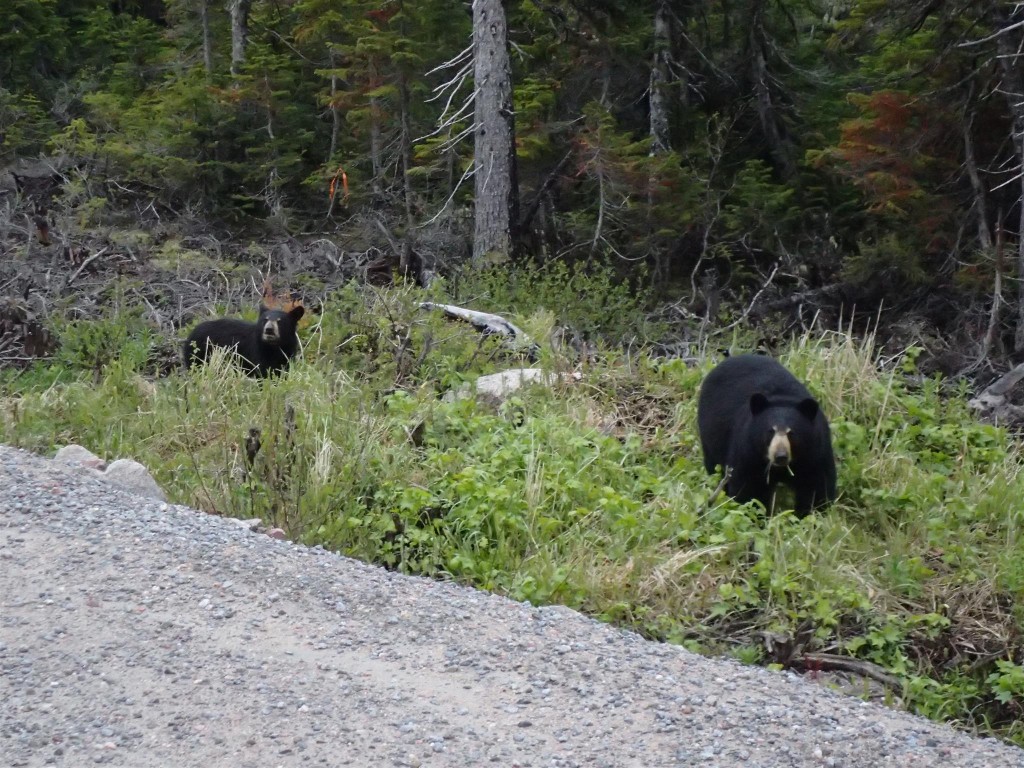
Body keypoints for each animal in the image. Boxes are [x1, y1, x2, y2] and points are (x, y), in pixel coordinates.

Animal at [696, 354, 839, 518]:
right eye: (770, 431)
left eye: (792, 433)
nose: (780, 456)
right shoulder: (749, 451)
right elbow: (749, 489)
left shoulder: (814, 453)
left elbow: (817, 485)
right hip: (710, 435)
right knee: (714, 465)